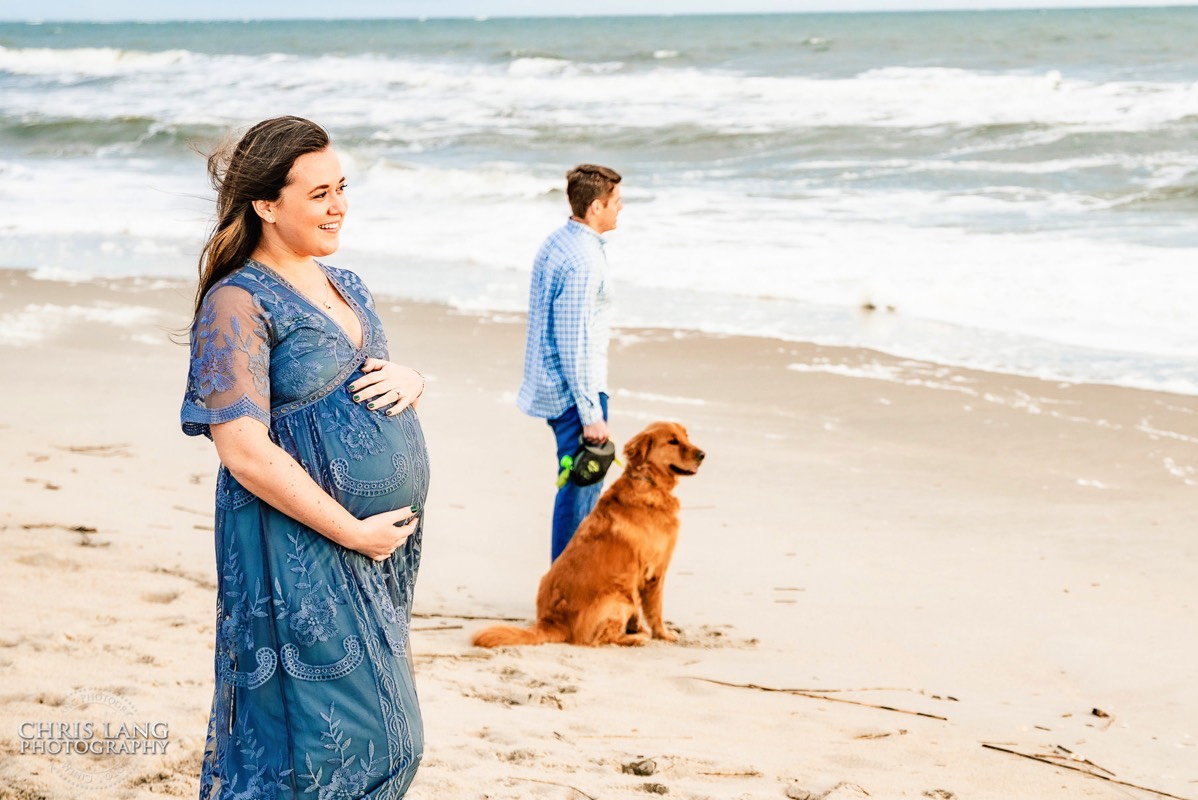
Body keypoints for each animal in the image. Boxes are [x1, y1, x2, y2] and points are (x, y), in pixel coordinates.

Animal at [469, 421, 699, 646]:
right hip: (619, 597)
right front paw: (663, 634)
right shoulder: (655, 571)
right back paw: (635, 638)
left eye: (686, 436)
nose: (702, 454)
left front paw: (639, 627)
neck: (647, 482)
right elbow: (655, 610)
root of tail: (552, 621)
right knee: (601, 638)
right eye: (672, 441)